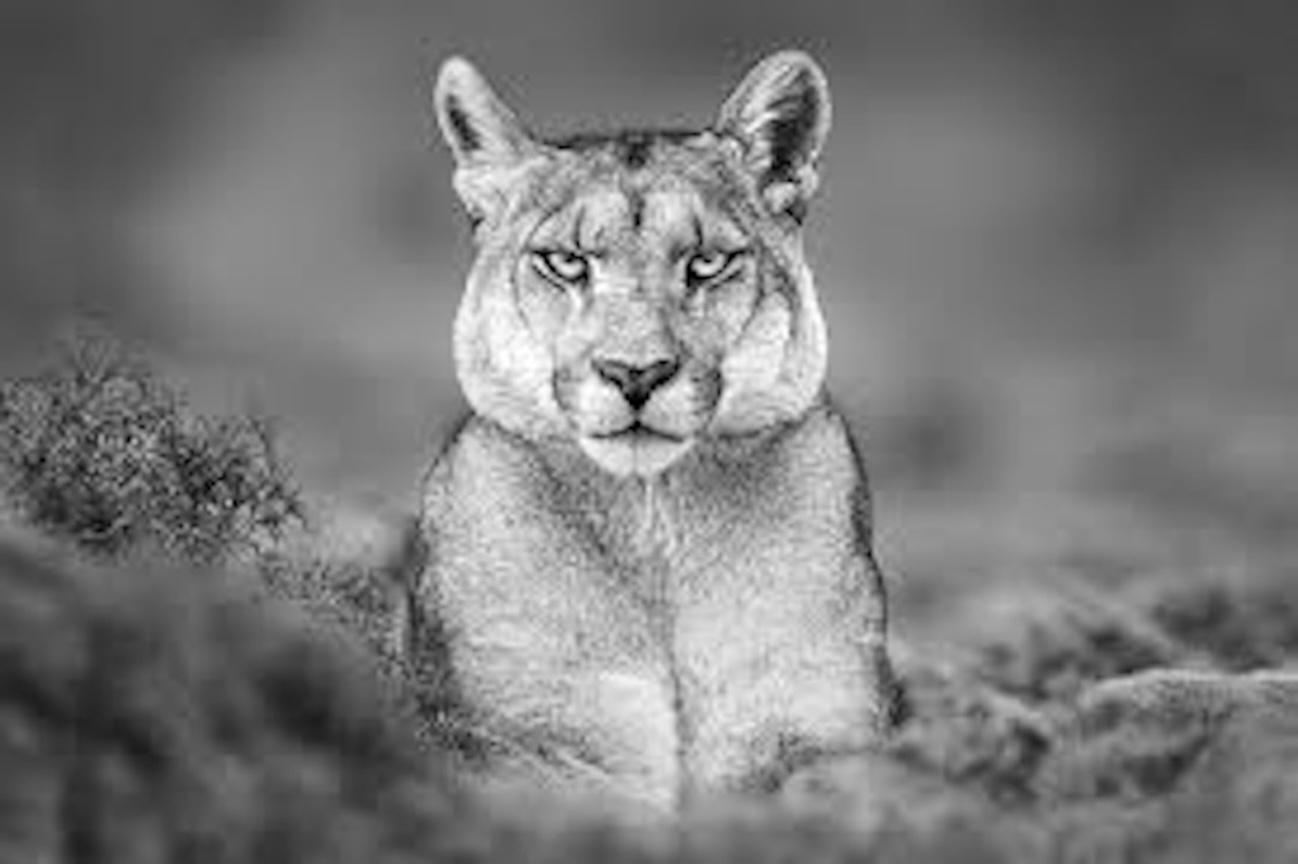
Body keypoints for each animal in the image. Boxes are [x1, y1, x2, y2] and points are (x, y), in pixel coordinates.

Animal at [414, 49, 897, 812]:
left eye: (706, 261)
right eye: (567, 261)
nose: (635, 373)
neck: (655, 521)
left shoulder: (818, 723)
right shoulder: (521, 735)